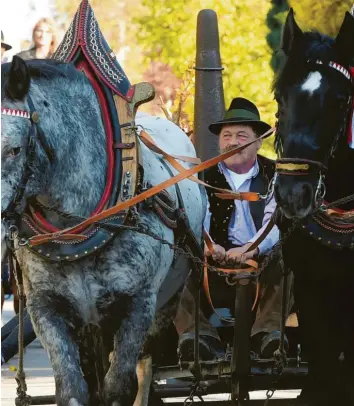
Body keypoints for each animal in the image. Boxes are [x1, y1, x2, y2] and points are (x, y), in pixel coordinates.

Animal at [0, 58, 205, 406]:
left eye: (14, 149)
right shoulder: (46, 308)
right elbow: (72, 389)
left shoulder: (138, 305)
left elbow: (120, 388)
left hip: (165, 303)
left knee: (143, 369)